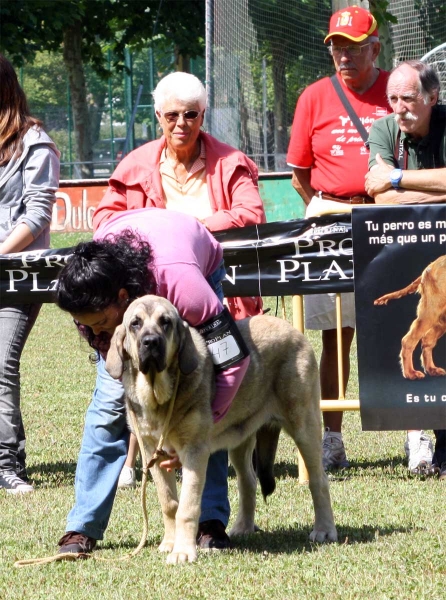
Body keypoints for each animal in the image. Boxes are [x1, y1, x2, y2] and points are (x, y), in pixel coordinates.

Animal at [107, 296, 338, 564]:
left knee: (319, 480)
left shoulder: (194, 451)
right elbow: (169, 503)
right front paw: (170, 543)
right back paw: (243, 527)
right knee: (248, 481)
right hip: (241, 439)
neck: (158, 395)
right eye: (135, 323)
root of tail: (293, 331)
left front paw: (183, 552)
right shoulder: (151, 451)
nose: (151, 342)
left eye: (166, 322)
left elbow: (187, 506)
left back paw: (324, 530)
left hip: (304, 425)